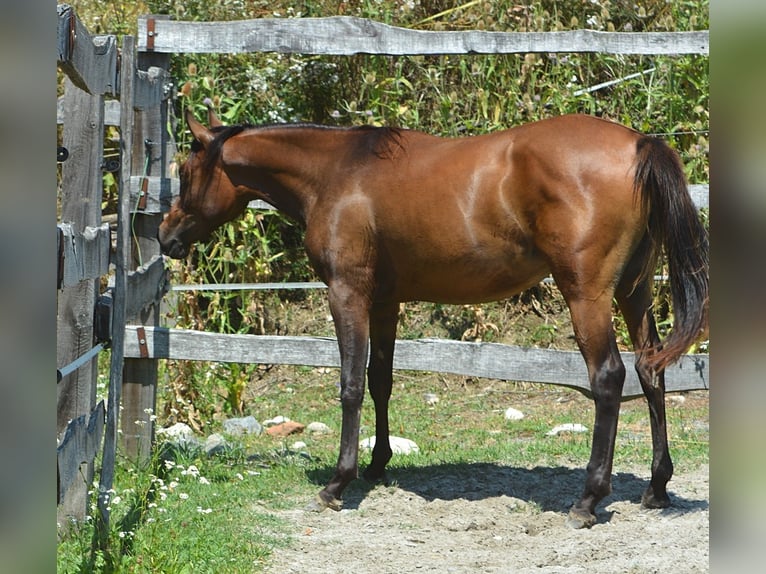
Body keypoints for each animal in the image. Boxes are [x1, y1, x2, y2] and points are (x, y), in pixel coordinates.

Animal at [159, 109, 712, 532]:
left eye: (184, 173)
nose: (166, 238)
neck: (338, 173)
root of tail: (639, 144)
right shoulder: (386, 302)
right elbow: (380, 381)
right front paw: (377, 464)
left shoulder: (347, 294)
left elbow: (350, 385)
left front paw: (339, 482)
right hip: (635, 291)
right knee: (650, 369)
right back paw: (657, 487)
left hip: (587, 294)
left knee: (609, 377)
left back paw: (588, 499)